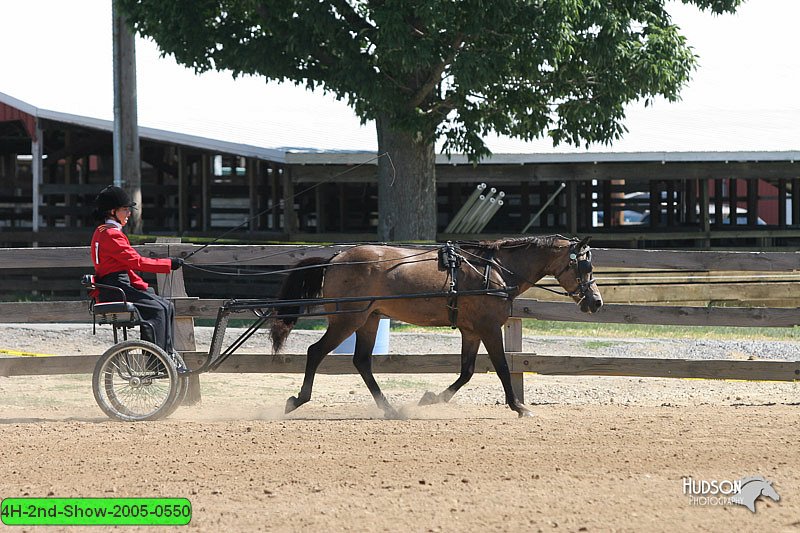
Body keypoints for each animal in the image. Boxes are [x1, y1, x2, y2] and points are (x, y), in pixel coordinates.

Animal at [268, 235, 600, 418]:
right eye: (584, 265)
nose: (595, 302)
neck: (494, 270)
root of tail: (336, 257)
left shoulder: (471, 331)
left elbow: (467, 371)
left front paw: (431, 399)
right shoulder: (490, 328)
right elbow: (503, 368)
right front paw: (519, 407)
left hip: (369, 319)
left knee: (361, 361)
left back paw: (390, 409)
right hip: (348, 319)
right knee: (316, 351)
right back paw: (298, 400)